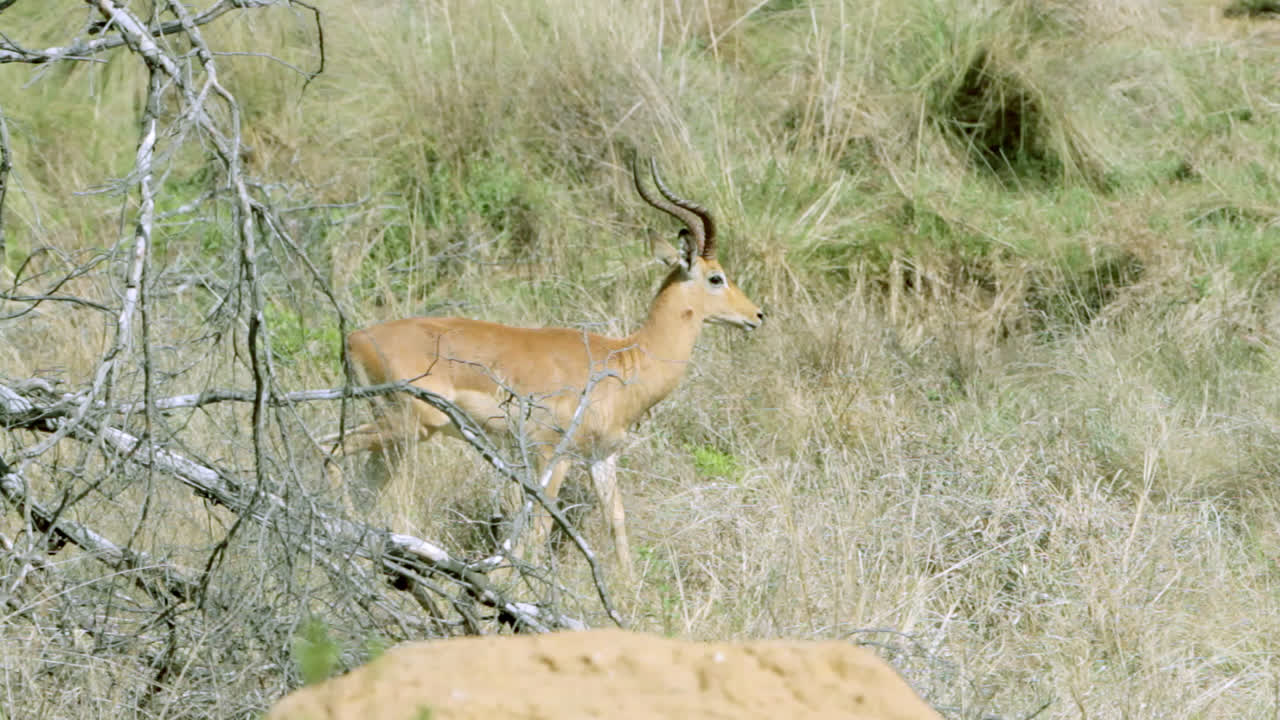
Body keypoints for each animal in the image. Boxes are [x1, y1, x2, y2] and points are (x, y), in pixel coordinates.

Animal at [326, 158, 763, 577]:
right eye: (716, 277)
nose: (757, 315)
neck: (624, 360)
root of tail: (355, 339)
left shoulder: (601, 457)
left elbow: (616, 523)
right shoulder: (551, 453)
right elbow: (539, 526)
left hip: (398, 441)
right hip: (406, 426)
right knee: (330, 450)